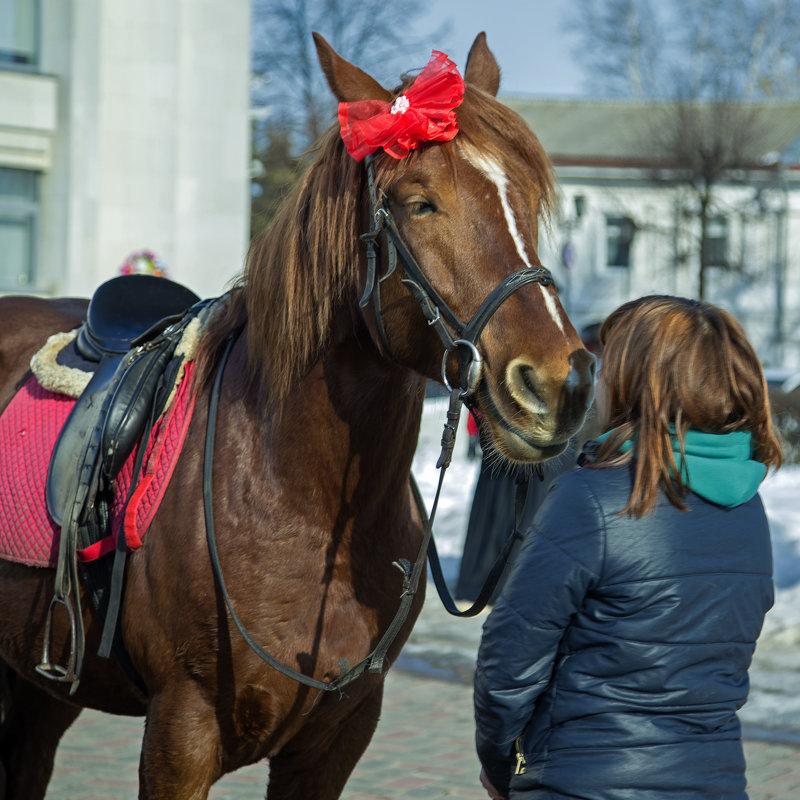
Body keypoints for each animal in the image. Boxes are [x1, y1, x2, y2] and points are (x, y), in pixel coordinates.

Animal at [0, 32, 592, 800]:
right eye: (419, 204)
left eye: (524, 199)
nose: (559, 383)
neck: (295, 497)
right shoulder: (181, 734)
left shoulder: (334, 742)